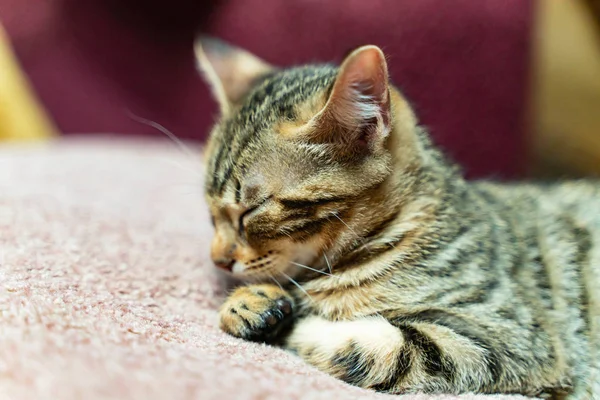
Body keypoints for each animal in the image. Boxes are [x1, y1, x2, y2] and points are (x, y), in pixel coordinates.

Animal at [198, 36, 600, 396]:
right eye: (211, 212)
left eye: (251, 211)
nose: (217, 259)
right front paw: (249, 304)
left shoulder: (510, 336)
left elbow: (381, 351)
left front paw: (299, 319)